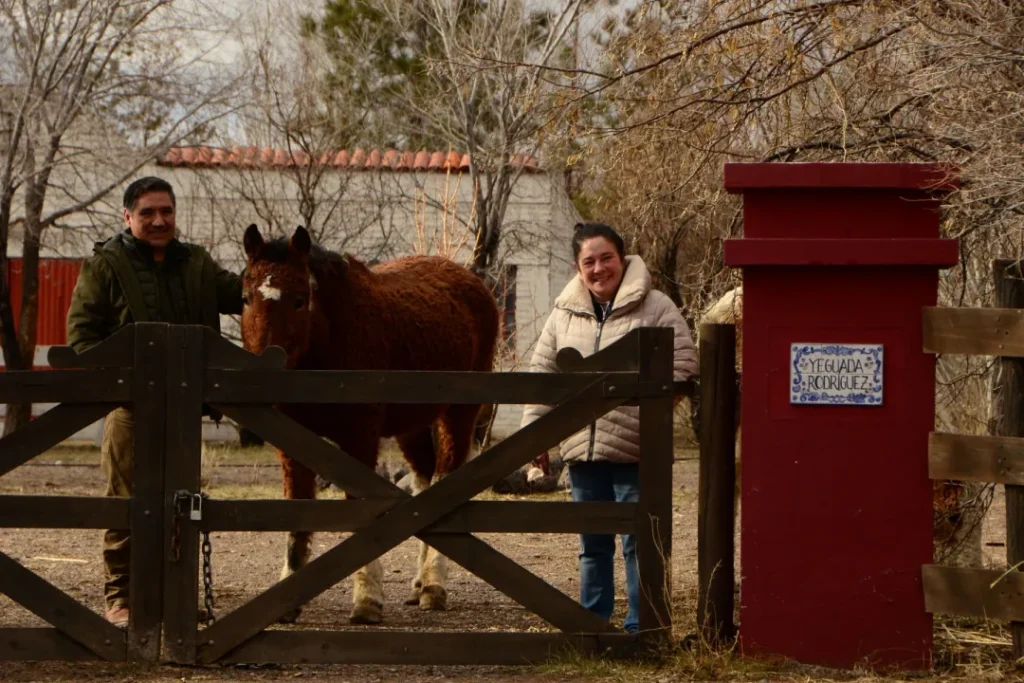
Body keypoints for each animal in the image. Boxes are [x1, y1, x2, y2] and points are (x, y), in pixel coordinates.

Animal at [239, 224, 500, 624]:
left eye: (299, 300)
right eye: (247, 297)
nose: (264, 369)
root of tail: (473, 282)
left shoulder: (360, 436)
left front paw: (366, 599)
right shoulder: (293, 441)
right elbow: (298, 507)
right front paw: (287, 600)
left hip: (457, 416)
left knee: (445, 478)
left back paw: (433, 585)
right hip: (412, 427)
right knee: (425, 482)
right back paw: (419, 584)